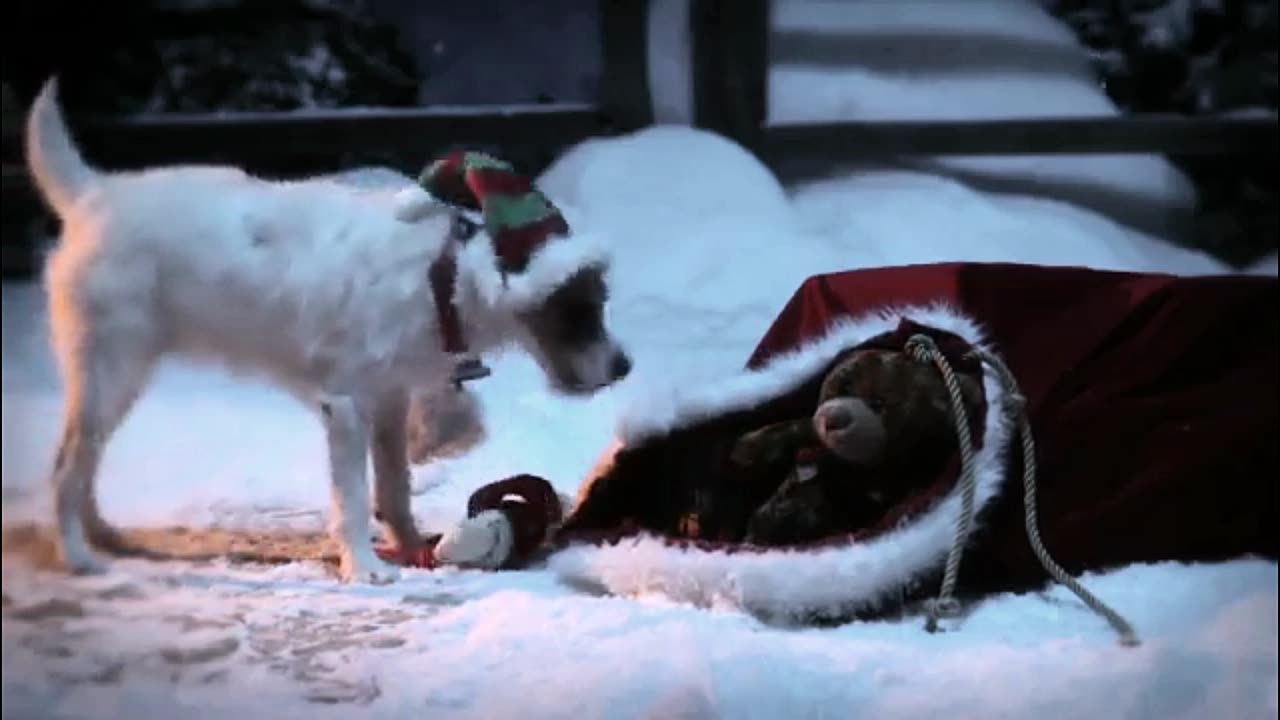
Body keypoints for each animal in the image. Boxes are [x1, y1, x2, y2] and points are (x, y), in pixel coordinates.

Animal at [23, 78, 629, 584]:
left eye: (599, 300)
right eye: (575, 307)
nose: (623, 368)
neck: (439, 278)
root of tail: (93, 195)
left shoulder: (390, 403)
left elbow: (395, 488)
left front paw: (413, 547)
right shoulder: (345, 407)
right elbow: (355, 498)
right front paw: (364, 568)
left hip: (118, 377)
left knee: (86, 462)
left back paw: (103, 536)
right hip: (111, 370)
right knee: (66, 467)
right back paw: (78, 556)